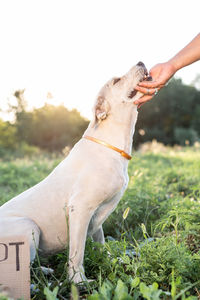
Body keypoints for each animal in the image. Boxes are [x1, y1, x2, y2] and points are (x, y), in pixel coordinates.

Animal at [0, 61, 147, 284]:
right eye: (116, 81)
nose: (140, 62)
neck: (109, 145)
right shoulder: (80, 208)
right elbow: (77, 252)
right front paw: (78, 281)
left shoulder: (96, 216)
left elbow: (100, 241)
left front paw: (111, 261)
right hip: (28, 226)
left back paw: (45, 270)